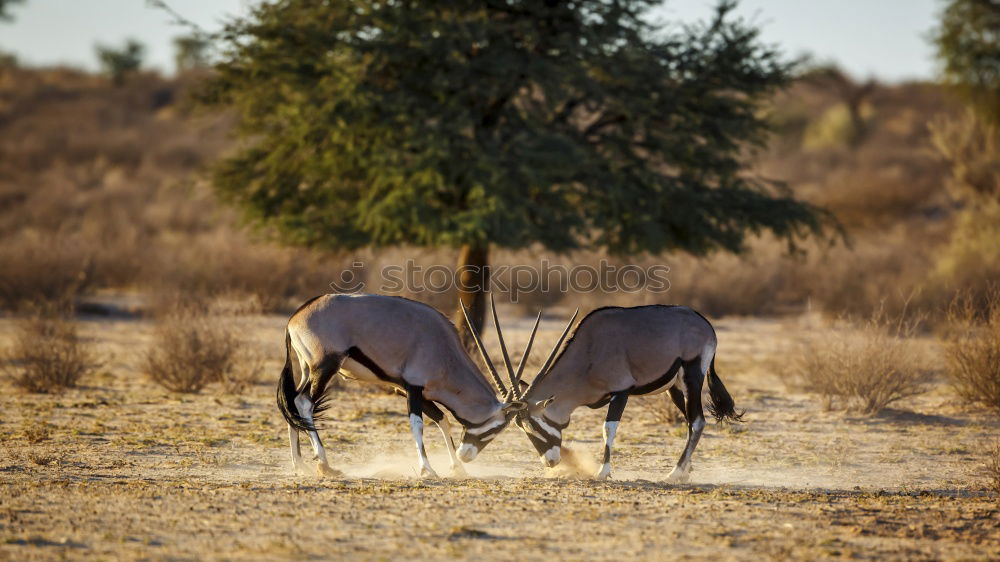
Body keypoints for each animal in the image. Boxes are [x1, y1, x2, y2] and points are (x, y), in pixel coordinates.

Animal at [278, 290, 560, 474]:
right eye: (499, 428)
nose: (466, 456)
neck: (444, 349)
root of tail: (295, 317)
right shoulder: (413, 387)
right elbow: (418, 424)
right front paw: (428, 469)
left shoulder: (406, 388)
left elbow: (442, 419)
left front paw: (456, 468)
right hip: (326, 366)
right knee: (304, 402)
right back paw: (324, 464)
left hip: (308, 369)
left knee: (293, 402)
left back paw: (299, 464)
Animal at [464, 302, 740, 482]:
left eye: (535, 426)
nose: (550, 462)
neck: (588, 352)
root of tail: (705, 324)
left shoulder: (621, 390)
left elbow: (608, 428)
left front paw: (603, 471)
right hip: (674, 388)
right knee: (692, 421)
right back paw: (685, 468)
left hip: (692, 377)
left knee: (697, 421)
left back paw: (675, 472)